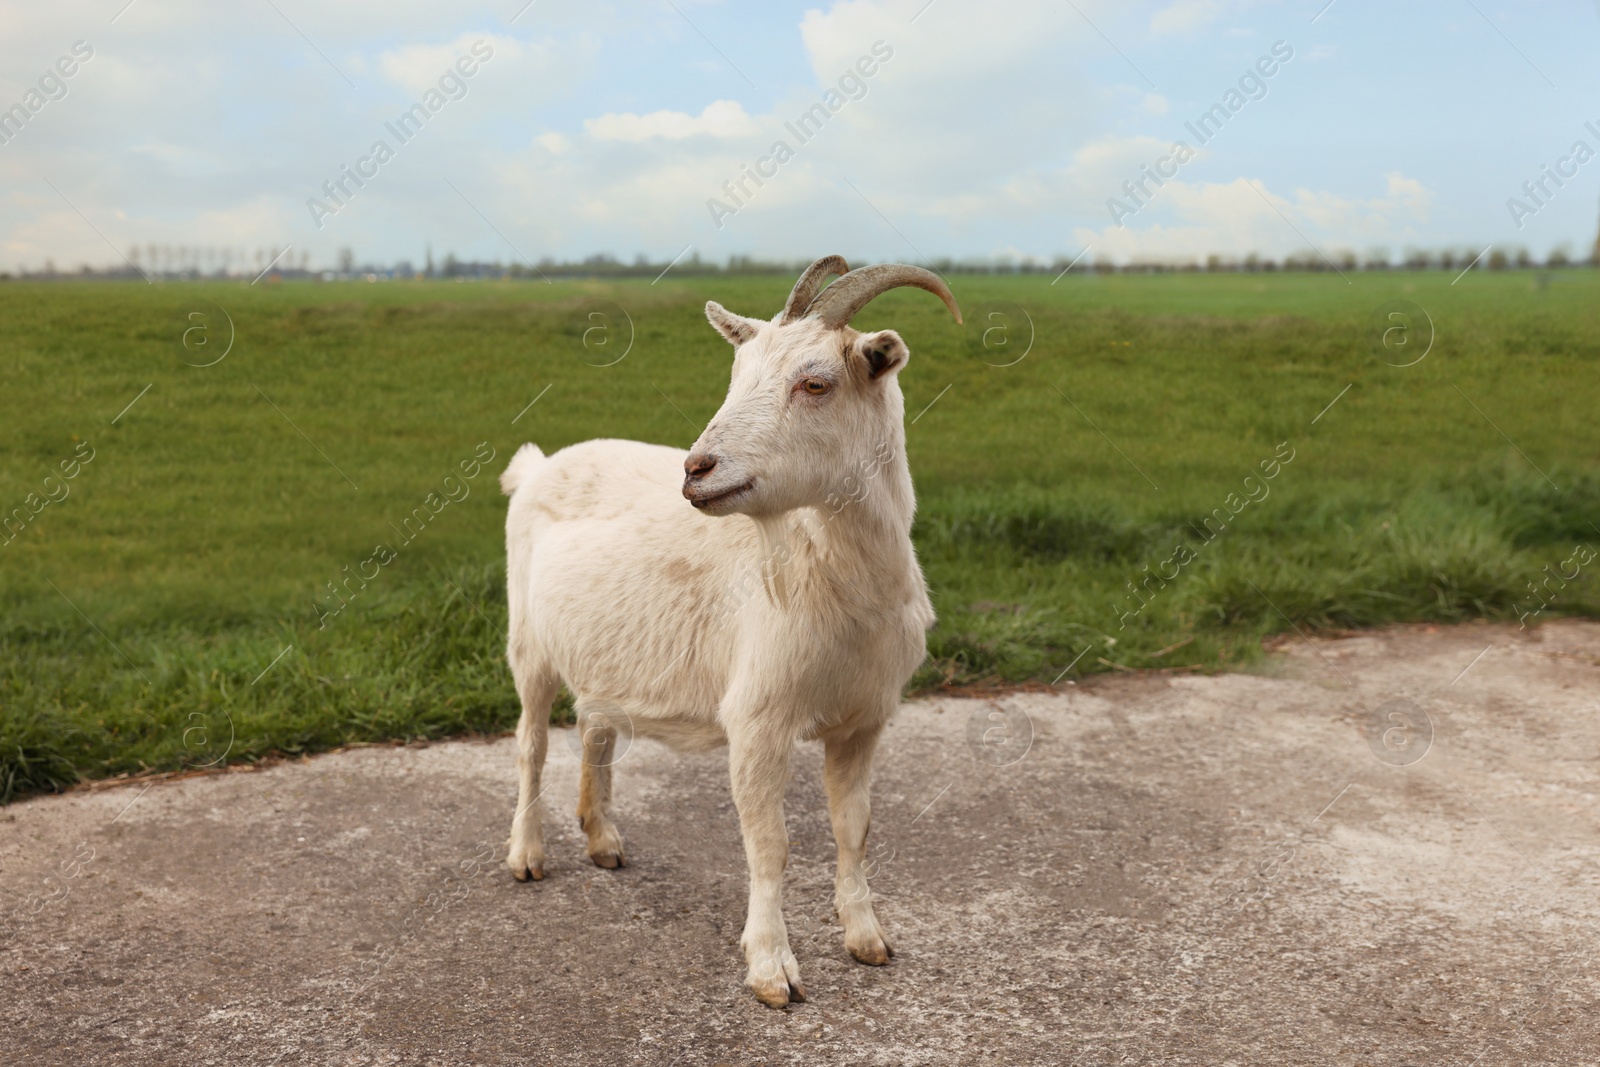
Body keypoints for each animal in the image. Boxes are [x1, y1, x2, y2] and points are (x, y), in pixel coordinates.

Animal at [499, 259, 953, 1011]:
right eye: (737, 375)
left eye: (816, 382)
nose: (696, 469)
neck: (837, 581)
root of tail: (538, 466)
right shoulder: (758, 717)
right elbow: (770, 843)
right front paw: (772, 969)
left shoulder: (865, 719)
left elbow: (854, 827)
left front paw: (867, 937)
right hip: (527, 640)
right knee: (532, 742)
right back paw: (526, 854)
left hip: (601, 651)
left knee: (594, 724)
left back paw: (602, 838)